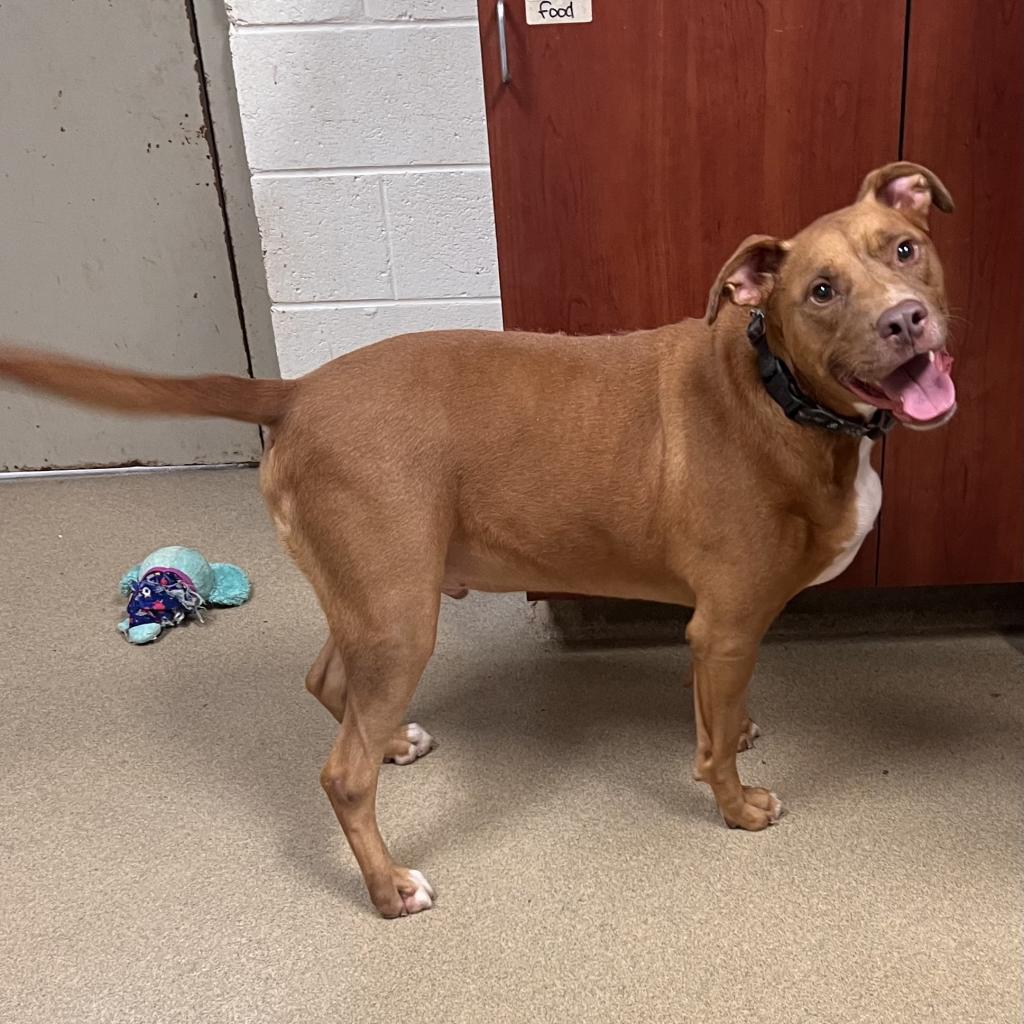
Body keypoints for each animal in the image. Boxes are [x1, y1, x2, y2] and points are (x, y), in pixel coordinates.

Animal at [0, 161, 958, 921]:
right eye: (821, 291)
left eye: (905, 249)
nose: (908, 320)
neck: (777, 392)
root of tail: (298, 389)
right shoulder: (725, 626)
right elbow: (714, 747)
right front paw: (736, 807)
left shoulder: (711, 636)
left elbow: (712, 718)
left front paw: (735, 731)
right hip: (399, 616)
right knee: (341, 775)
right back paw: (388, 888)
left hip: (375, 600)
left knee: (329, 682)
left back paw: (390, 741)